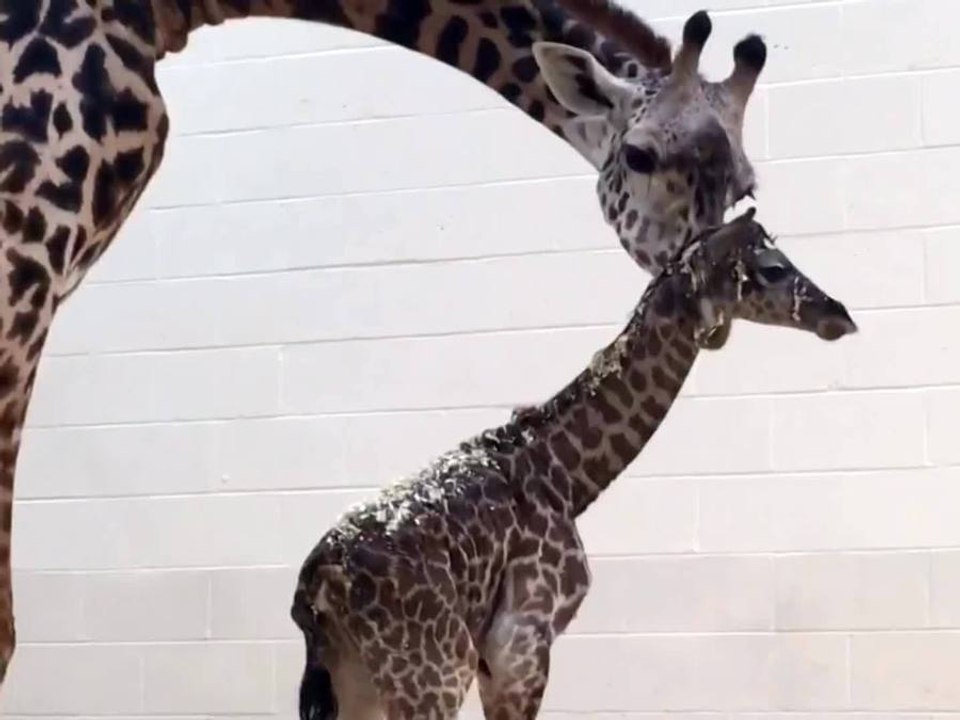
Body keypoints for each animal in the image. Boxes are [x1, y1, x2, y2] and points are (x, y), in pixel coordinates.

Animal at [291, 208, 858, 720]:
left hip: (364, 679)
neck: (564, 476)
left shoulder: (498, 656)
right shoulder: (520, 642)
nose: (839, 314)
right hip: (432, 672)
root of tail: (318, 580)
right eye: (773, 268)